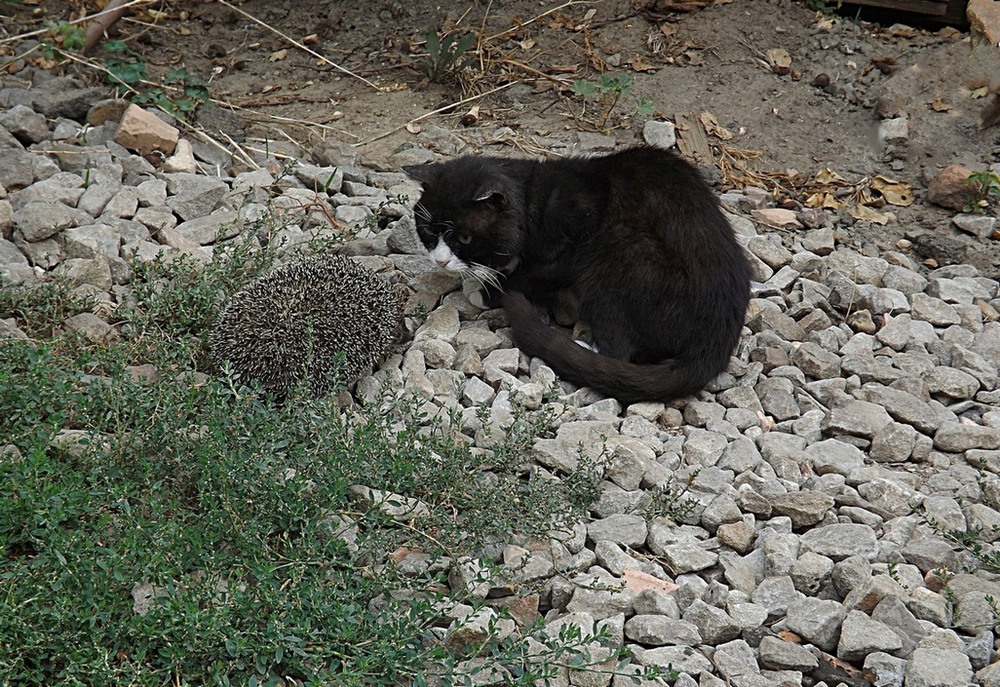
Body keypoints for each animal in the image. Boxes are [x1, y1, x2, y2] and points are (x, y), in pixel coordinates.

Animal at [402, 145, 748, 404]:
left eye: (464, 238)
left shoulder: (572, 244)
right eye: (429, 231)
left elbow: (529, 275)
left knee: (619, 349)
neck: (532, 199)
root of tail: (716, 341)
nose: (441, 261)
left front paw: (486, 290)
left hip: (613, 251)